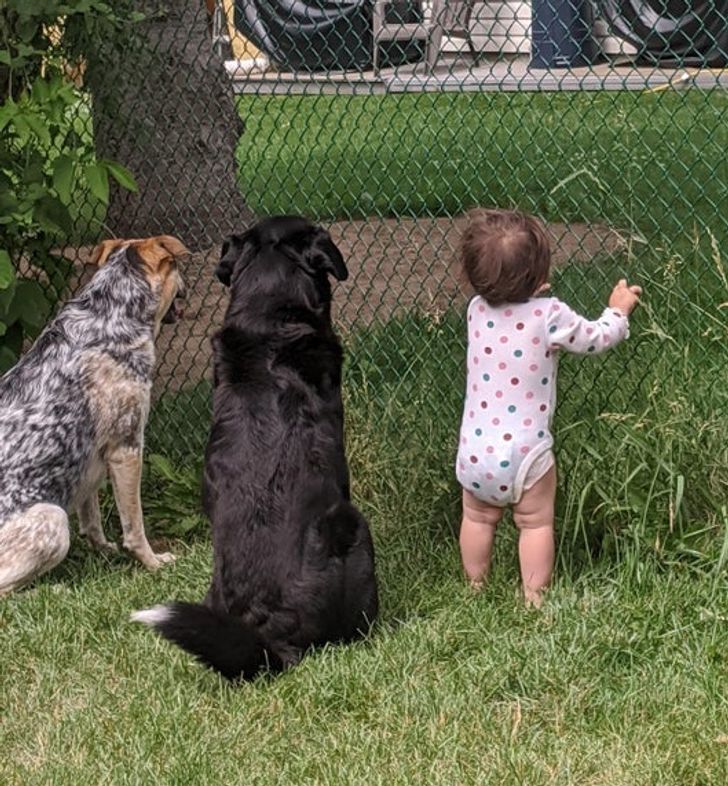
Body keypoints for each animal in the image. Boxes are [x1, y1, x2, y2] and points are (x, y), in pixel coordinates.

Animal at [0, 236, 186, 592]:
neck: (109, 315)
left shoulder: (89, 457)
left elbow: (92, 516)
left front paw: (102, 550)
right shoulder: (127, 449)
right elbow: (134, 526)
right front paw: (153, 563)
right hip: (53, 519)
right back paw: (52, 590)